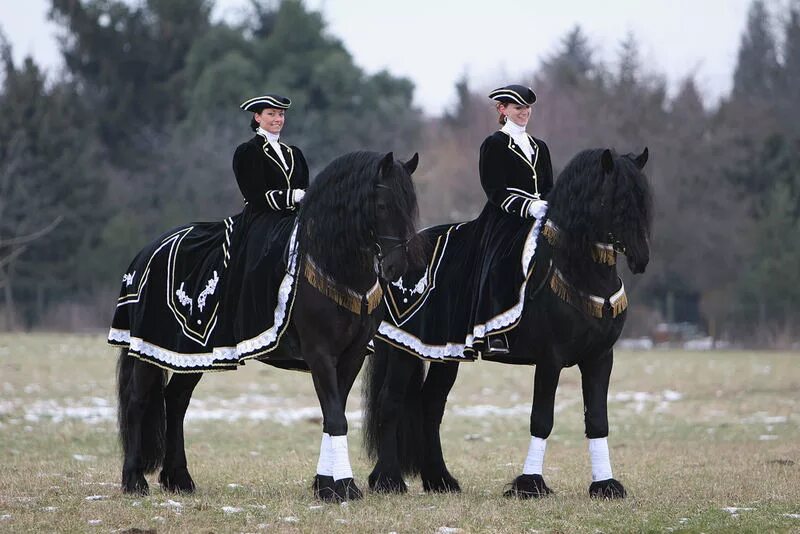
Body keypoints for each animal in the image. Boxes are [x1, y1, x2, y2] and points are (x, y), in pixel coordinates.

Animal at [119, 151, 422, 502]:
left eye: (411, 205)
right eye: (383, 205)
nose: (399, 267)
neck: (337, 266)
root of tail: (147, 251)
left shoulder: (352, 355)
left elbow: (335, 414)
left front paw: (329, 484)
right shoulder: (320, 353)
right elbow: (336, 418)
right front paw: (339, 487)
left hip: (192, 355)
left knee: (176, 400)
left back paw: (178, 478)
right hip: (149, 349)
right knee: (138, 401)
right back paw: (134, 480)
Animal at [362, 147, 648, 498]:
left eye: (643, 199)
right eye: (614, 201)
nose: (641, 258)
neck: (582, 274)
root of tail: (396, 258)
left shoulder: (600, 357)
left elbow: (597, 420)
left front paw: (605, 485)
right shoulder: (550, 359)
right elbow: (542, 419)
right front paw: (530, 485)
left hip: (446, 354)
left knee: (431, 404)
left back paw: (440, 480)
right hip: (404, 350)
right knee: (391, 402)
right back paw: (388, 480)